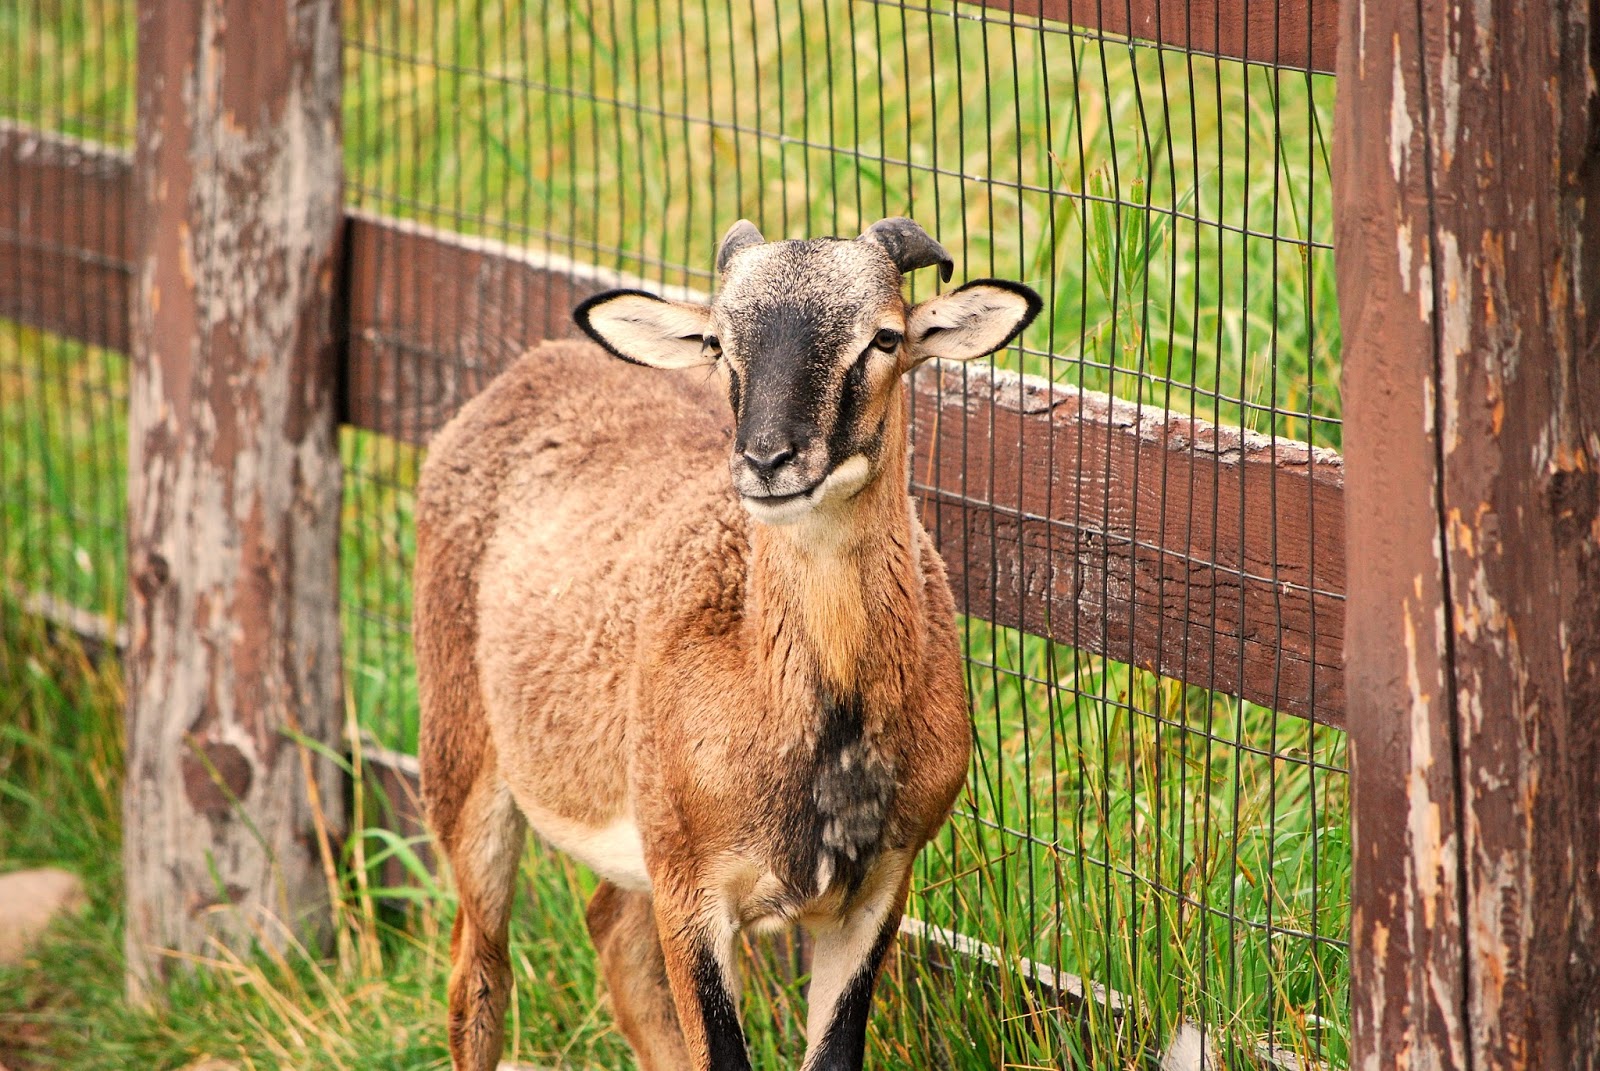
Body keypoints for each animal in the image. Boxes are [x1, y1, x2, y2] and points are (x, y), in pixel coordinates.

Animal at [414, 218, 1041, 1071]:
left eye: (884, 336)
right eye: (718, 340)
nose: (768, 459)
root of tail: (529, 368)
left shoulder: (877, 889)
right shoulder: (694, 889)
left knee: (611, 930)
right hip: (463, 760)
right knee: (477, 974)